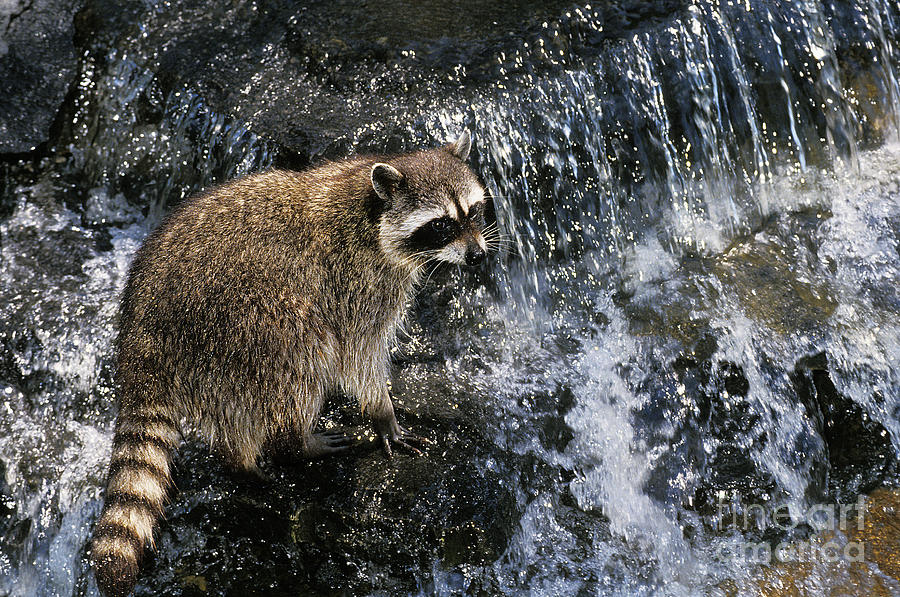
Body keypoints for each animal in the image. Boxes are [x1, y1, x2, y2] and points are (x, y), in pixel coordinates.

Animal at [91, 132, 492, 596]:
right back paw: (293, 443)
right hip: (244, 326)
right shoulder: (357, 283)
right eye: (441, 224)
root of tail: (141, 337)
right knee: (302, 360)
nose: (478, 256)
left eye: (474, 211)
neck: (371, 211)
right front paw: (383, 416)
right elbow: (358, 355)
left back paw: (239, 460)